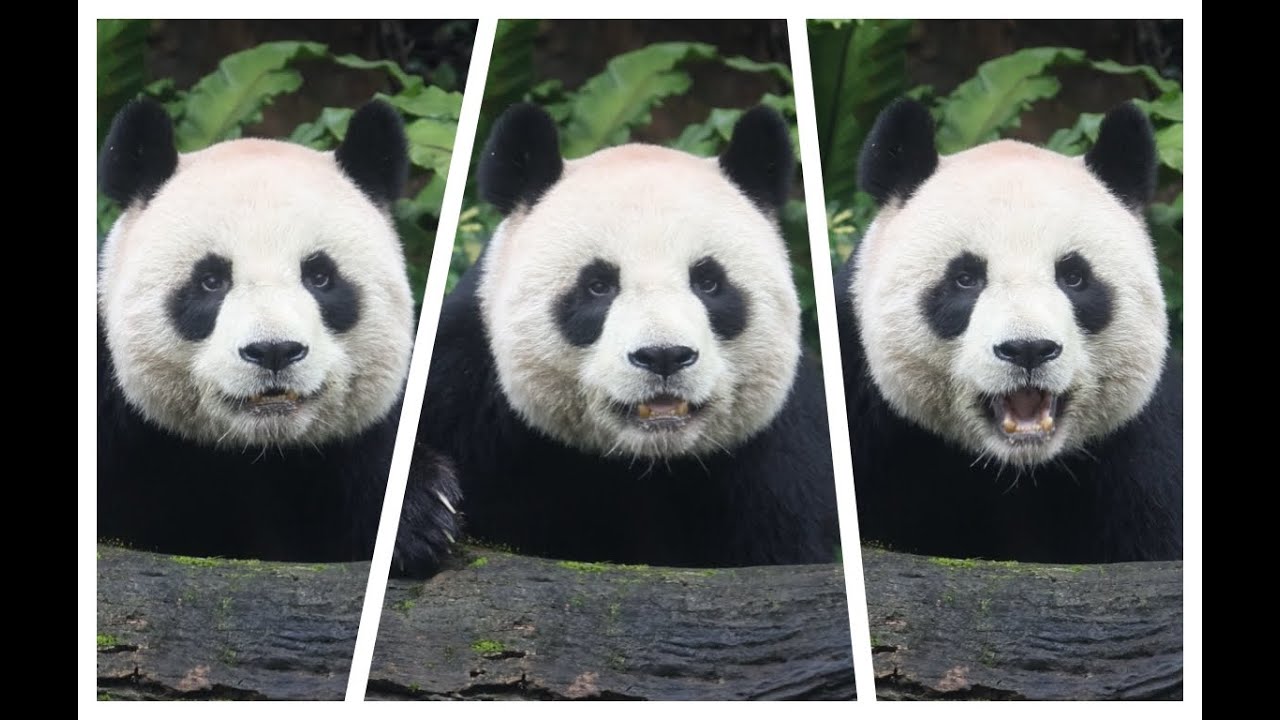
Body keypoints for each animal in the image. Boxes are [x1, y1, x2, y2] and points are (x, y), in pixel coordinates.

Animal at [405, 103, 839, 567]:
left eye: (708, 282)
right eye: (598, 285)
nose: (664, 356)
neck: (642, 460)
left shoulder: (778, 455)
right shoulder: (464, 384)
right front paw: (426, 514)